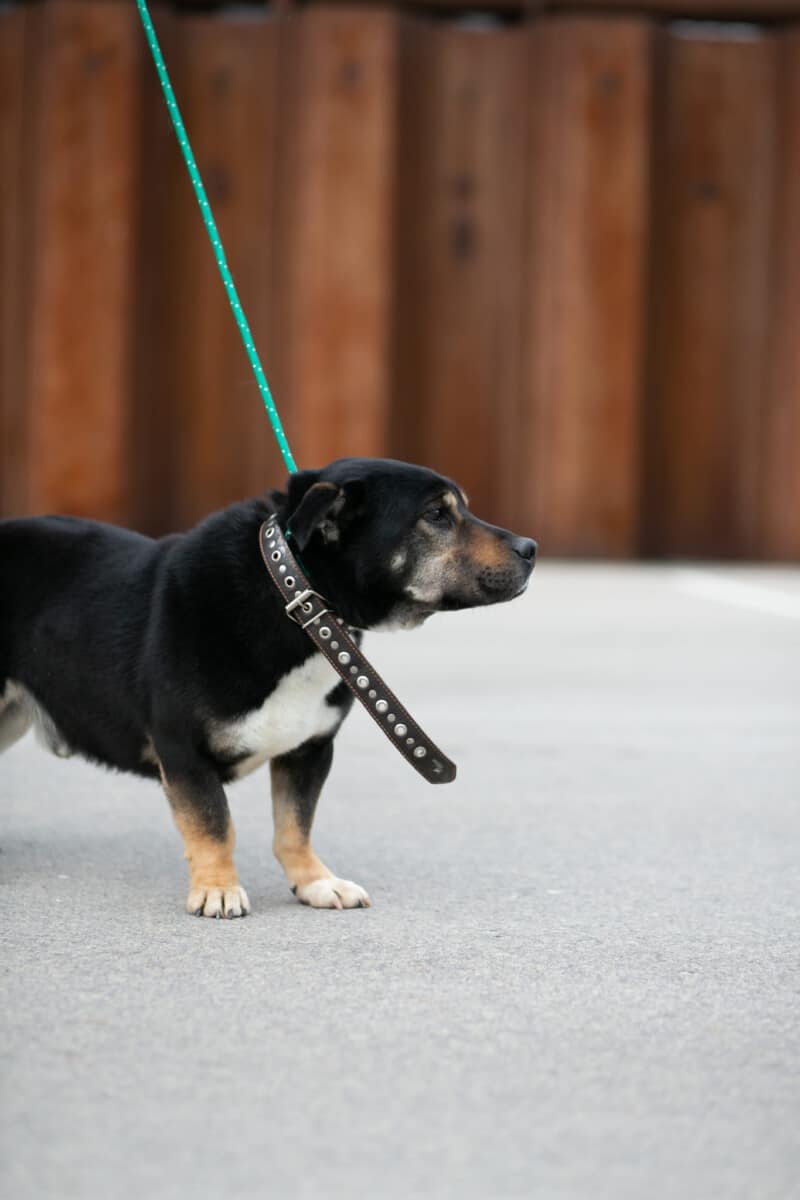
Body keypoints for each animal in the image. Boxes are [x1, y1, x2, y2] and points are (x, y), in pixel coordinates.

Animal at [0, 457, 536, 916]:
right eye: (435, 515)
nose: (531, 549)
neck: (295, 598)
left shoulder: (310, 749)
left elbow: (295, 825)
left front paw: (316, 882)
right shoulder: (183, 749)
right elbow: (214, 824)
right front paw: (217, 889)